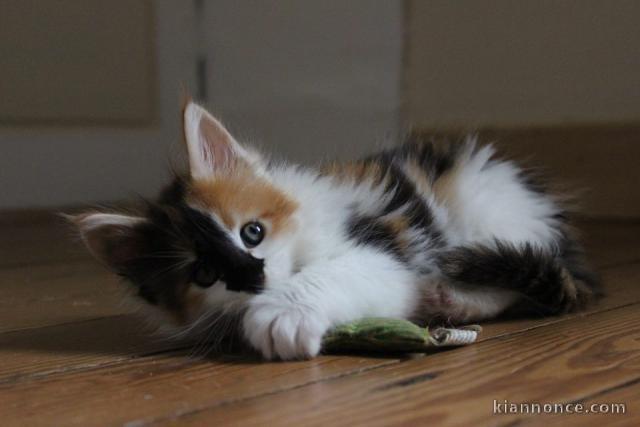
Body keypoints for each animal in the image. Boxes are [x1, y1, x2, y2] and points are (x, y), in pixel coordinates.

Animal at [72, 103, 596, 362]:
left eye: (252, 232)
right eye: (204, 274)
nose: (255, 279)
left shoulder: (381, 251)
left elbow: (337, 274)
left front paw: (282, 315)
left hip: (485, 210)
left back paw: (451, 297)